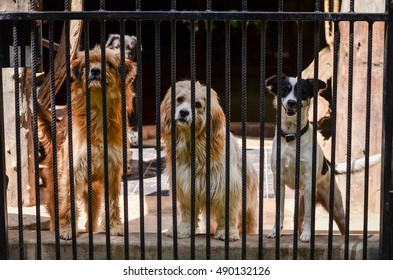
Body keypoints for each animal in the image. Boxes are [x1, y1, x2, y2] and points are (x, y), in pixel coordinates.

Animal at [38, 45, 136, 238]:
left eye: (108, 64)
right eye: (88, 64)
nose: (95, 71)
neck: (98, 111)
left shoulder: (113, 171)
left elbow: (113, 202)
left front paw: (114, 226)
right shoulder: (73, 170)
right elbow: (68, 202)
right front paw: (67, 229)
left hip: (94, 190)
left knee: (93, 212)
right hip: (55, 183)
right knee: (54, 209)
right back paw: (56, 227)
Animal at [159, 80, 258, 242]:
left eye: (198, 104)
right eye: (179, 99)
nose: (183, 112)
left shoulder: (226, 186)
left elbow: (227, 213)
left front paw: (227, 232)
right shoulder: (184, 185)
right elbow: (187, 212)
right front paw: (183, 229)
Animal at [264, 74, 380, 243]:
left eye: (303, 92)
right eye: (285, 89)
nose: (291, 102)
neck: (291, 136)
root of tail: (329, 166)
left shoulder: (308, 180)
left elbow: (309, 216)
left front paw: (307, 234)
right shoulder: (278, 180)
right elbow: (279, 210)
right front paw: (275, 231)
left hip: (336, 209)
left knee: (340, 225)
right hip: (300, 207)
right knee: (298, 221)